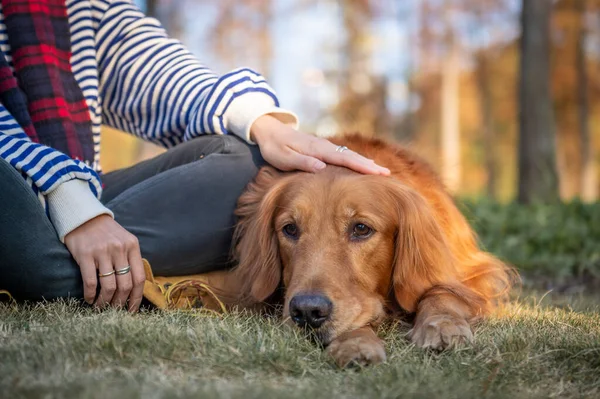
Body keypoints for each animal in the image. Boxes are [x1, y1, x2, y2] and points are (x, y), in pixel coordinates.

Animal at [199, 134, 512, 368]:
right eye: (290, 229)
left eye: (361, 229)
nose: (308, 312)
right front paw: (356, 342)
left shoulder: (471, 273)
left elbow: (444, 291)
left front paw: (444, 324)